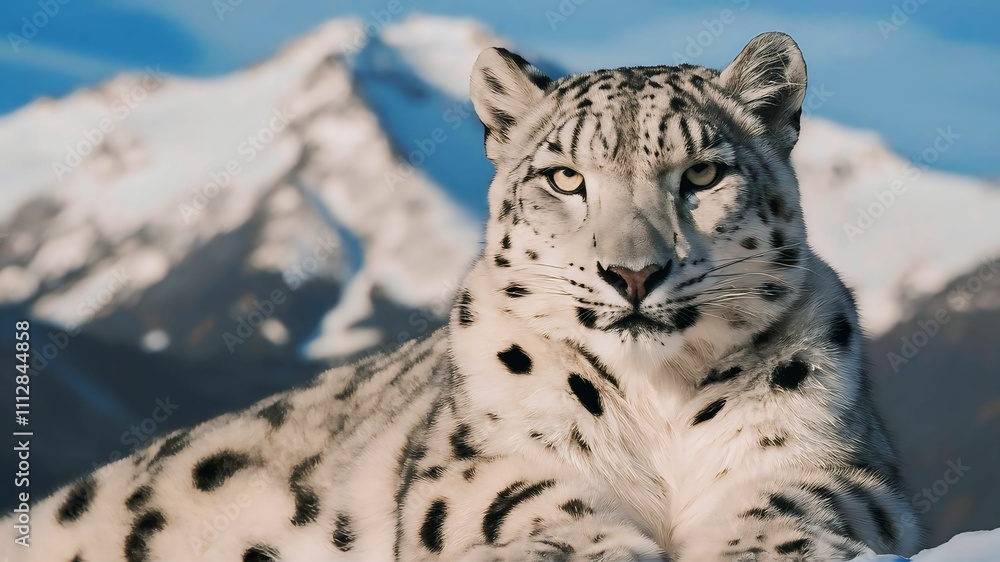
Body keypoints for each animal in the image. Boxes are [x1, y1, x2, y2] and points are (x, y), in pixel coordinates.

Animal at [3, 32, 920, 561]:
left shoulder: (838, 461)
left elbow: (799, 499)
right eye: (564, 177)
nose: (632, 274)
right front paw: (586, 541)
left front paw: (758, 542)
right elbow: (518, 504)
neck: (655, 401)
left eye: (701, 174)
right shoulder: (484, 464)